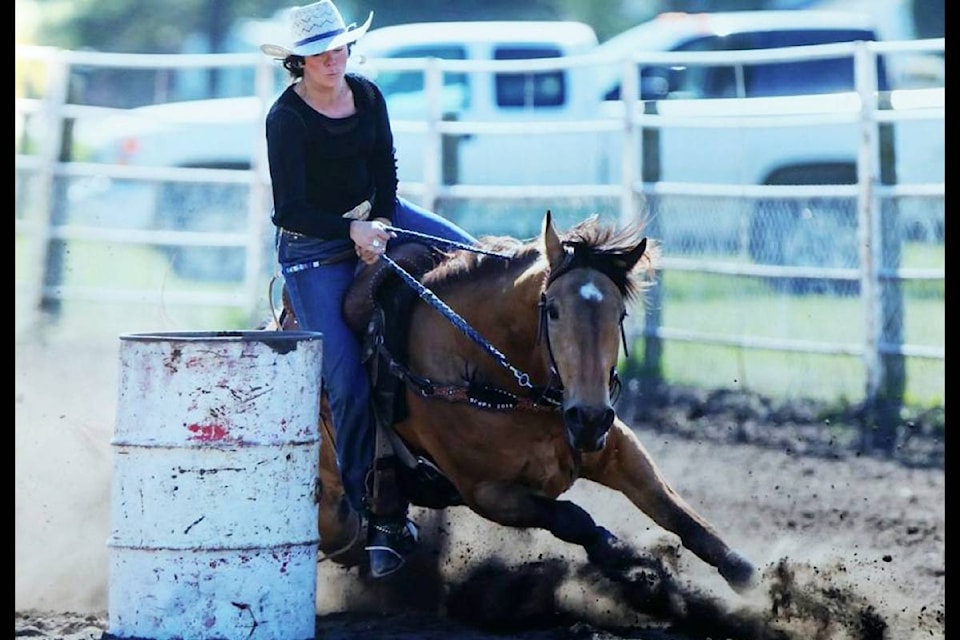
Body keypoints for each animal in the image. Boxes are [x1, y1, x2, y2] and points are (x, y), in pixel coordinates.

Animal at [276, 212, 756, 596]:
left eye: (618, 313)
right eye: (553, 310)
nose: (588, 419)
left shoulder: (617, 448)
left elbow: (678, 512)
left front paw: (748, 579)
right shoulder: (486, 491)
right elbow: (573, 519)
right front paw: (628, 562)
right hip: (334, 505)